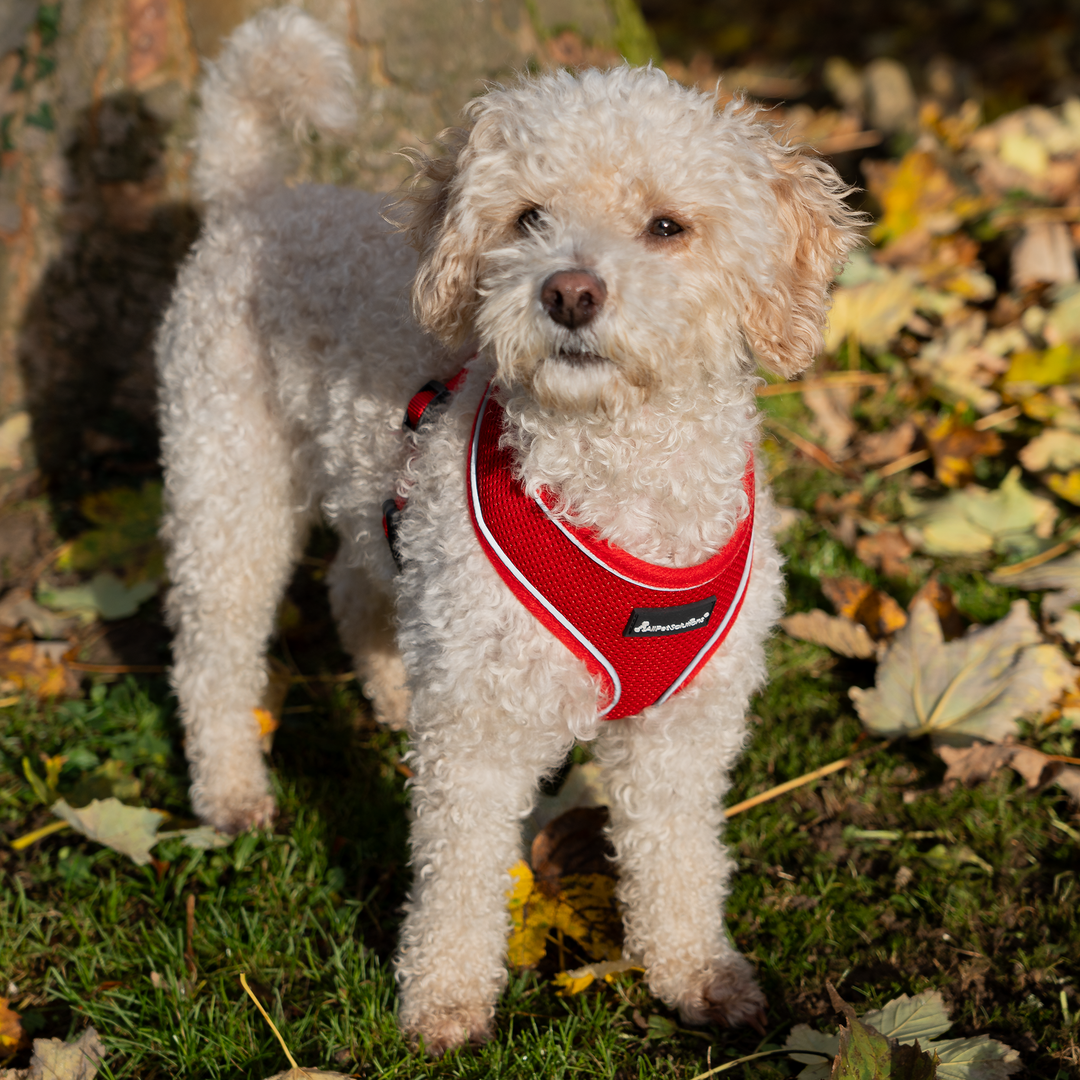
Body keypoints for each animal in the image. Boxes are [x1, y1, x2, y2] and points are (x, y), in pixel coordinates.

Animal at [154, 6, 859, 1054]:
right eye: (529, 216)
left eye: (667, 226)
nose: (568, 292)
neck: (620, 474)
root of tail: (256, 195)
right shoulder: (479, 732)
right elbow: (457, 877)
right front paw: (443, 1002)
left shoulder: (683, 731)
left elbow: (679, 860)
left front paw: (697, 975)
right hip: (226, 486)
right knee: (213, 654)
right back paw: (233, 792)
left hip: (383, 514)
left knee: (357, 583)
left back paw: (391, 691)